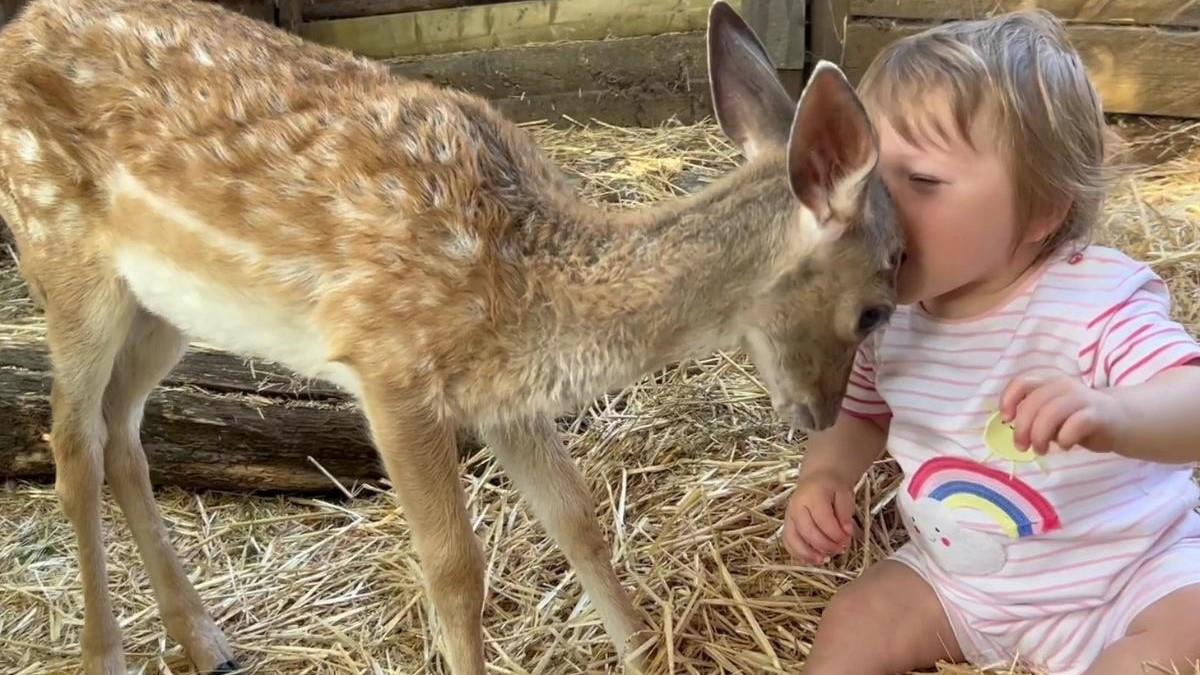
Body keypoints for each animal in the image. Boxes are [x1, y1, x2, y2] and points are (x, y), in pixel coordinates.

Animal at [0, 0, 902, 667]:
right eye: (876, 305)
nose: (821, 413)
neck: (532, 289)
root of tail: (17, 31)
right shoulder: (390, 365)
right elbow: (455, 569)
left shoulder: (507, 397)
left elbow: (580, 521)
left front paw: (644, 653)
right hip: (62, 255)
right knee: (71, 439)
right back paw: (105, 655)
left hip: (166, 306)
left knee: (122, 431)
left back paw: (207, 640)